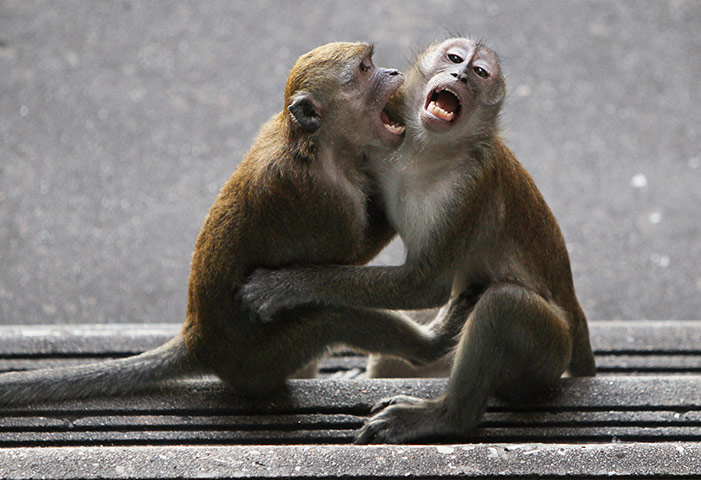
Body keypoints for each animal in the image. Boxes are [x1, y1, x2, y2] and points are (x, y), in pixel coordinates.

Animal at [0, 42, 462, 407]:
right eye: (365, 69)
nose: (392, 73)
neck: (315, 144)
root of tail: (199, 340)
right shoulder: (325, 199)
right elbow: (346, 257)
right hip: (257, 363)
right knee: (332, 316)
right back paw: (431, 344)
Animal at [238, 38, 597, 443]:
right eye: (455, 59)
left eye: (480, 73)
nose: (460, 75)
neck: (425, 151)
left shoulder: (471, 187)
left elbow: (423, 285)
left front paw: (286, 285)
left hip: (545, 361)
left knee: (503, 305)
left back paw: (447, 417)